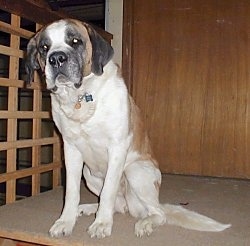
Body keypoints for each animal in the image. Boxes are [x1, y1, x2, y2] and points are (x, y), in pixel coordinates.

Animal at [25, 19, 230, 238]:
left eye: (75, 41)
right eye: (44, 47)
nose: (56, 58)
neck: (81, 96)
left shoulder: (117, 147)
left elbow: (108, 190)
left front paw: (102, 224)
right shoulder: (71, 149)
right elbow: (71, 191)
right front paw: (66, 222)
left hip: (135, 171)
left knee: (157, 213)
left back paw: (144, 223)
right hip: (89, 173)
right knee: (118, 205)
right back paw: (88, 208)